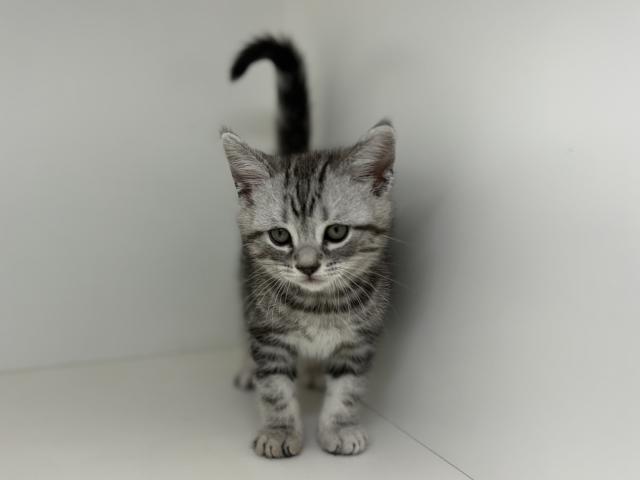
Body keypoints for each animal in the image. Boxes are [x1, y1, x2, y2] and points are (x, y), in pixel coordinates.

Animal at [220, 36, 395, 458]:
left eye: (336, 233)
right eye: (280, 236)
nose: (307, 265)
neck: (319, 307)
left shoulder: (359, 341)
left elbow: (348, 389)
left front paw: (340, 427)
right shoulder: (268, 336)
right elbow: (275, 389)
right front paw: (279, 431)